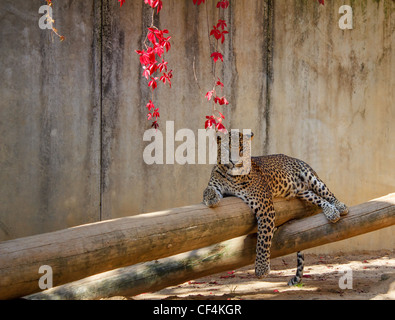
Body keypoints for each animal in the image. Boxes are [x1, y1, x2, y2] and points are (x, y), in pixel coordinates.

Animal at [203, 131, 348, 286]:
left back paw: (340, 207)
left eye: (242, 149)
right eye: (227, 149)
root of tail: (291, 157)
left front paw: (262, 269)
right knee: (319, 199)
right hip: (304, 192)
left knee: (327, 193)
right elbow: (208, 189)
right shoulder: (215, 183)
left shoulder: (265, 206)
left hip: (310, 177)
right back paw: (332, 212)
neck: (232, 176)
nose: (234, 162)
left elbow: (263, 239)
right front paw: (211, 198)